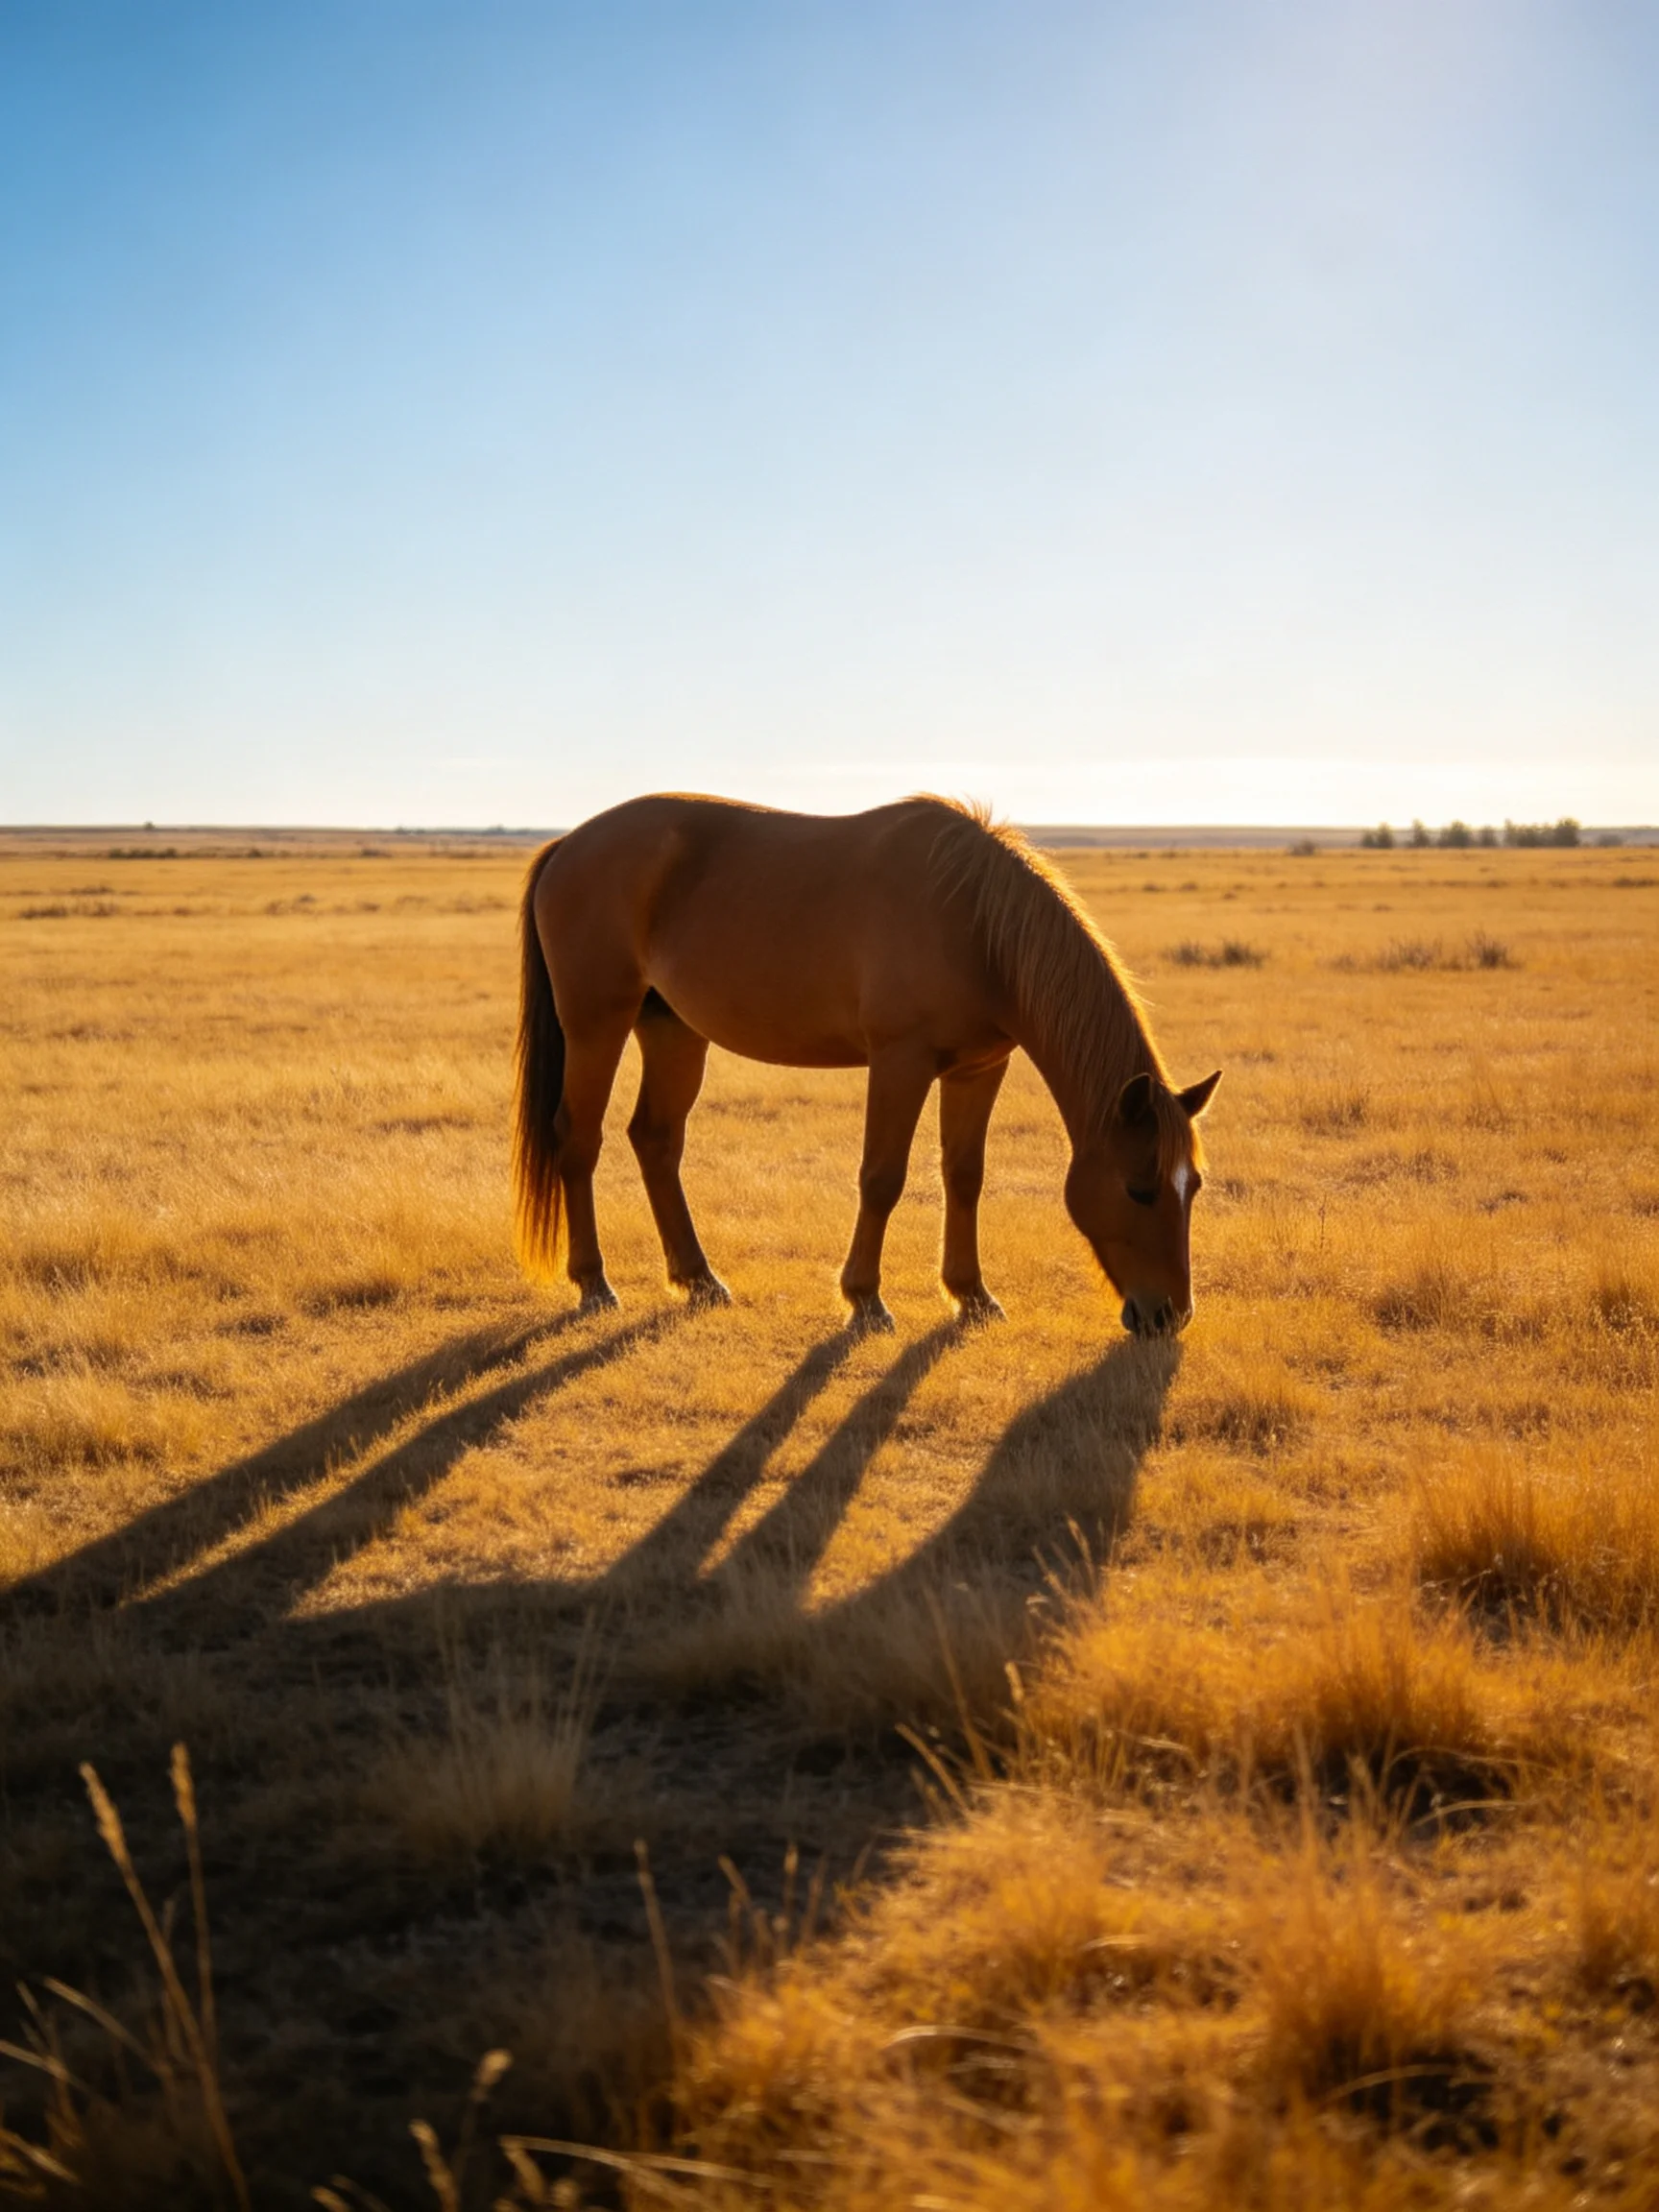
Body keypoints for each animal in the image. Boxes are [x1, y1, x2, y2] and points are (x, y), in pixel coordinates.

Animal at [513, 794, 1220, 1334]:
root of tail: (567, 846)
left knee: (655, 1140)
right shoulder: (900, 1060)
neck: (972, 923)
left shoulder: (978, 1069)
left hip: (673, 1032)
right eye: (1140, 1188)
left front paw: (972, 1295)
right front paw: (865, 1299)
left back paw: (699, 1278)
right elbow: (882, 1177)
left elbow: (965, 1176)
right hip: (596, 1024)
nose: (1170, 1316)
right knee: (579, 1140)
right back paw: (595, 1283)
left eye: (1194, 1188)